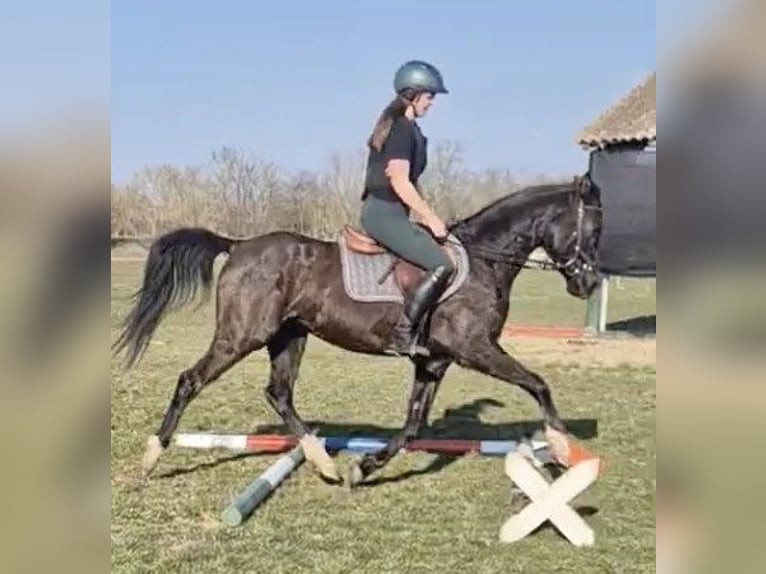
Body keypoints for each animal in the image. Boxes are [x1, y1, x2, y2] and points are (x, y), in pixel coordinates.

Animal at [112, 174, 602, 486]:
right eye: (594, 230)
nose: (589, 283)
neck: (485, 260)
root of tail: (238, 246)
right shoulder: (475, 348)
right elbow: (537, 384)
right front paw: (561, 445)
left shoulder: (435, 361)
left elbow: (413, 426)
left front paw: (364, 467)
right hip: (241, 336)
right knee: (191, 380)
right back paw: (151, 458)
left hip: (289, 337)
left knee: (279, 394)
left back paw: (322, 461)